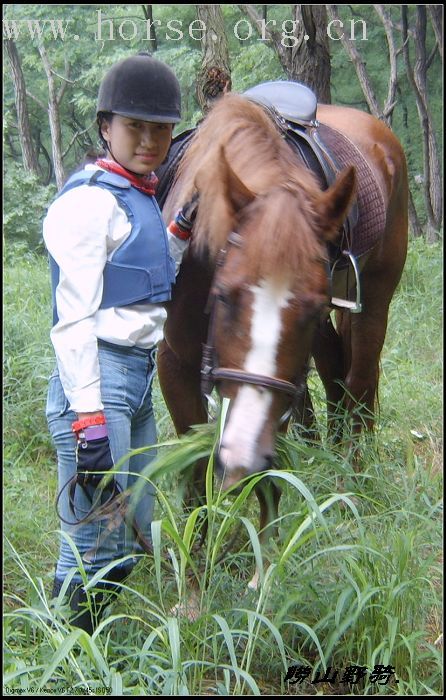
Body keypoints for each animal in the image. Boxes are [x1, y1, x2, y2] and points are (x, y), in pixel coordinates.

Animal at [157, 91, 408, 552]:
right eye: (223, 294)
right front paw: (196, 553)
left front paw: (267, 546)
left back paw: (355, 475)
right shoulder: (175, 361)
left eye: (310, 307)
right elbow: (196, 471)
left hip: (375, 299)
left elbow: (266, 474)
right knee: (333, 369)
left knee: (361, 382)